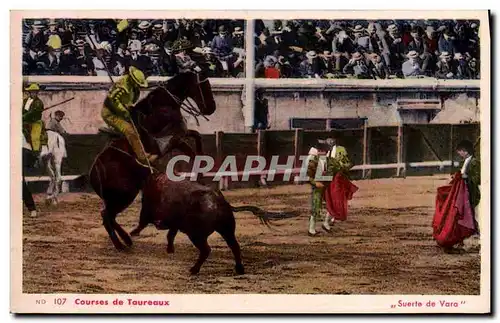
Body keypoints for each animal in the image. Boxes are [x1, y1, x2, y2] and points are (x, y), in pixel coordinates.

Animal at [90, 72, 215, 252]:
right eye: (203, 85)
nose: (211, 108)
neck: (163, 106)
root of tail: (94, 173)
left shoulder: (179, 137)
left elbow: (196, 139)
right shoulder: (172, 140)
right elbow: (191, 148)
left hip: (118, 197)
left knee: (108, 216)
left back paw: (126, 239)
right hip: (125, 195)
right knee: (107, 216)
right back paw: (121, 244)